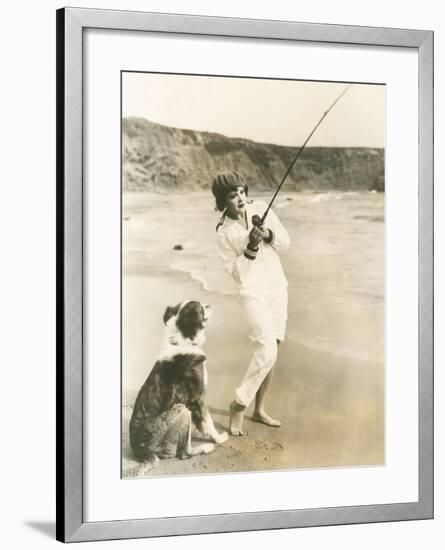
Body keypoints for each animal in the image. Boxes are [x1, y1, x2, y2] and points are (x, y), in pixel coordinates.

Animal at [127, 300, 225, 472]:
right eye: (201, 308)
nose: (209, 304)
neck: (182, 340)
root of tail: (141, 450)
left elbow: (202, 423)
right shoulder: (199, 397)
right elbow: (209, 421)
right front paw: (219, 438)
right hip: (182, 410)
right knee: (184, 453)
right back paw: (206, 447)